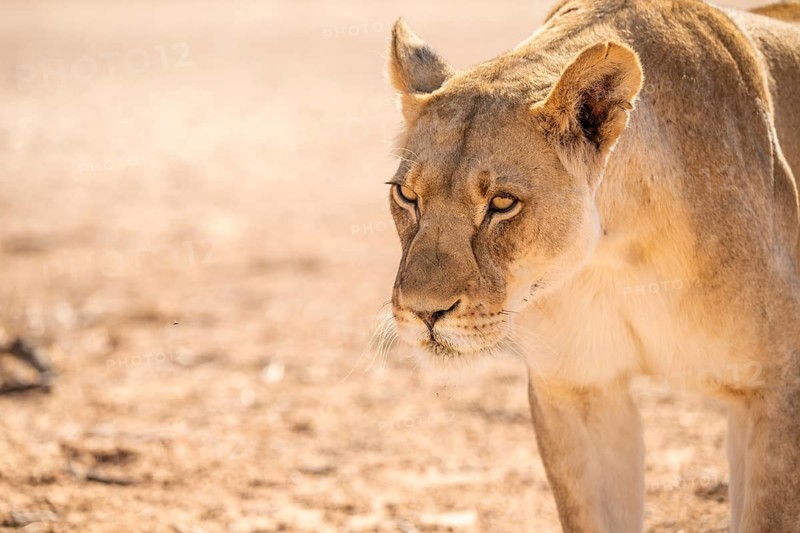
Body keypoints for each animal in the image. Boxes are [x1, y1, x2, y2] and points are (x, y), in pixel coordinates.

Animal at [384, 0, 800, 531]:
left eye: (502, 203)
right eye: (407, 195)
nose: (423, 313)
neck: (618, 252)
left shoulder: (776, 389)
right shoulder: (579, 392)